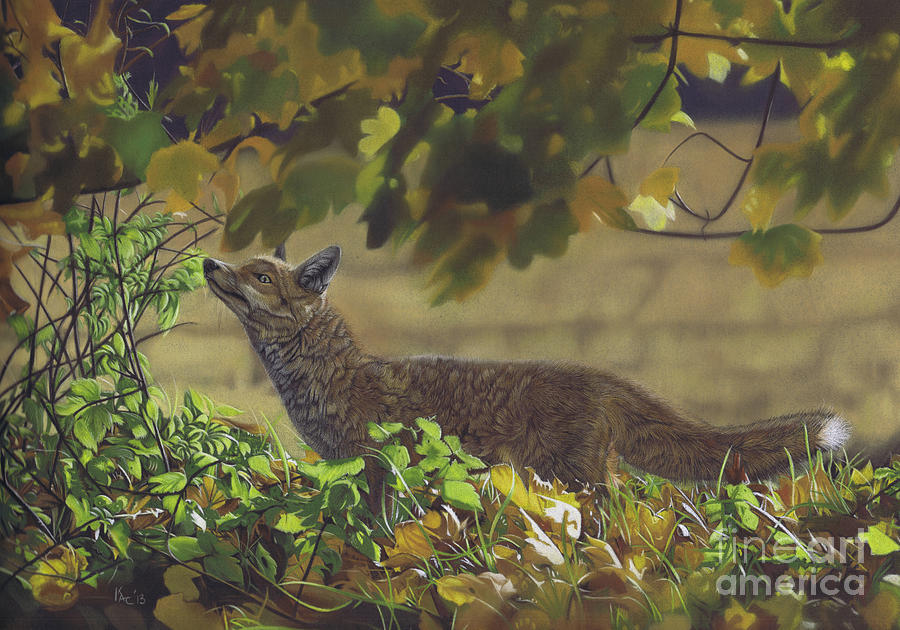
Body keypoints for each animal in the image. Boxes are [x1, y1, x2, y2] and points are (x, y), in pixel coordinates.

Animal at [203, 245, 851, 494]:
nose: (208, 262)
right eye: (243, 264)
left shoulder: (382, 466)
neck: (334, 376)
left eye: (260, 276)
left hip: (581, 478)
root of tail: (610, 381)